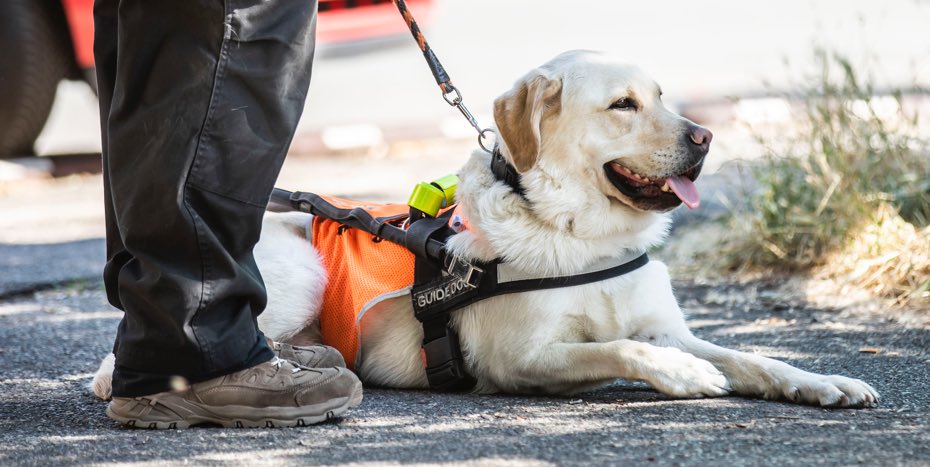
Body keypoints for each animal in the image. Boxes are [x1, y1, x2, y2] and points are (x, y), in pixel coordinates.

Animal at [92, 51, 876, 408]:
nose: (705, 137)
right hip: (298, 275)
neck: (582, 233)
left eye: (660, 96)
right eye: (623, 105)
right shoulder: (520, 358)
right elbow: (619, 347)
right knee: (118, 365)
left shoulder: (666, 325)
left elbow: (751, 357)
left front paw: (821, 380)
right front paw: (685, 375)